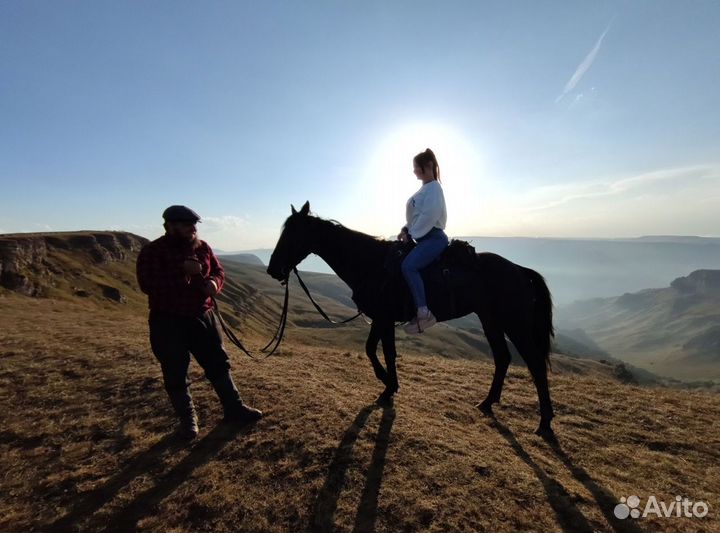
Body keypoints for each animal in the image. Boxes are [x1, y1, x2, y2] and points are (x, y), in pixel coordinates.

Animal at [270, 202, 556, 434]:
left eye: (292, 235)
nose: (273, 269)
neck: (371, 263)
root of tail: (519, 269)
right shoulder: (380, 319)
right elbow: (373, 349)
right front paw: (388, 383)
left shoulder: (384, 319)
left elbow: (383, 351)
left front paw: (388, 388)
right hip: (490, 321)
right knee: (502, 358)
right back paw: (487, 403)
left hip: (515, 325)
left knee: (535, 364)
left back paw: (544, 423)